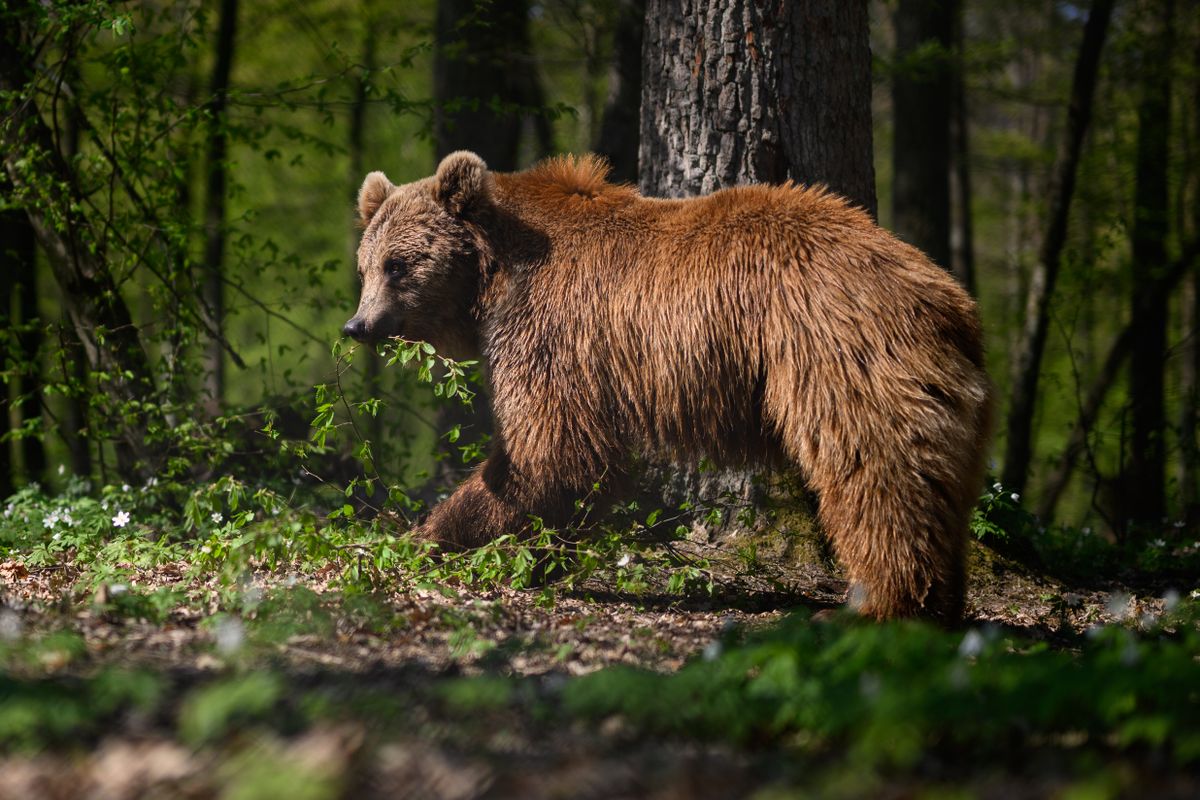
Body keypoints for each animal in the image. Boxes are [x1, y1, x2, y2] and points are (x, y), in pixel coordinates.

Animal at [345, 151, 993, 623]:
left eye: (399, 264)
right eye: (366, 265)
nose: (358, 325)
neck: (495, 275)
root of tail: (947, 298)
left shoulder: (552, 327)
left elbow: (549, 450)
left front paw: (434, 536)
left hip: (834, 353)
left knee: (876, 471)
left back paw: (879, 603)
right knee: (936, 482)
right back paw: (940, 601)